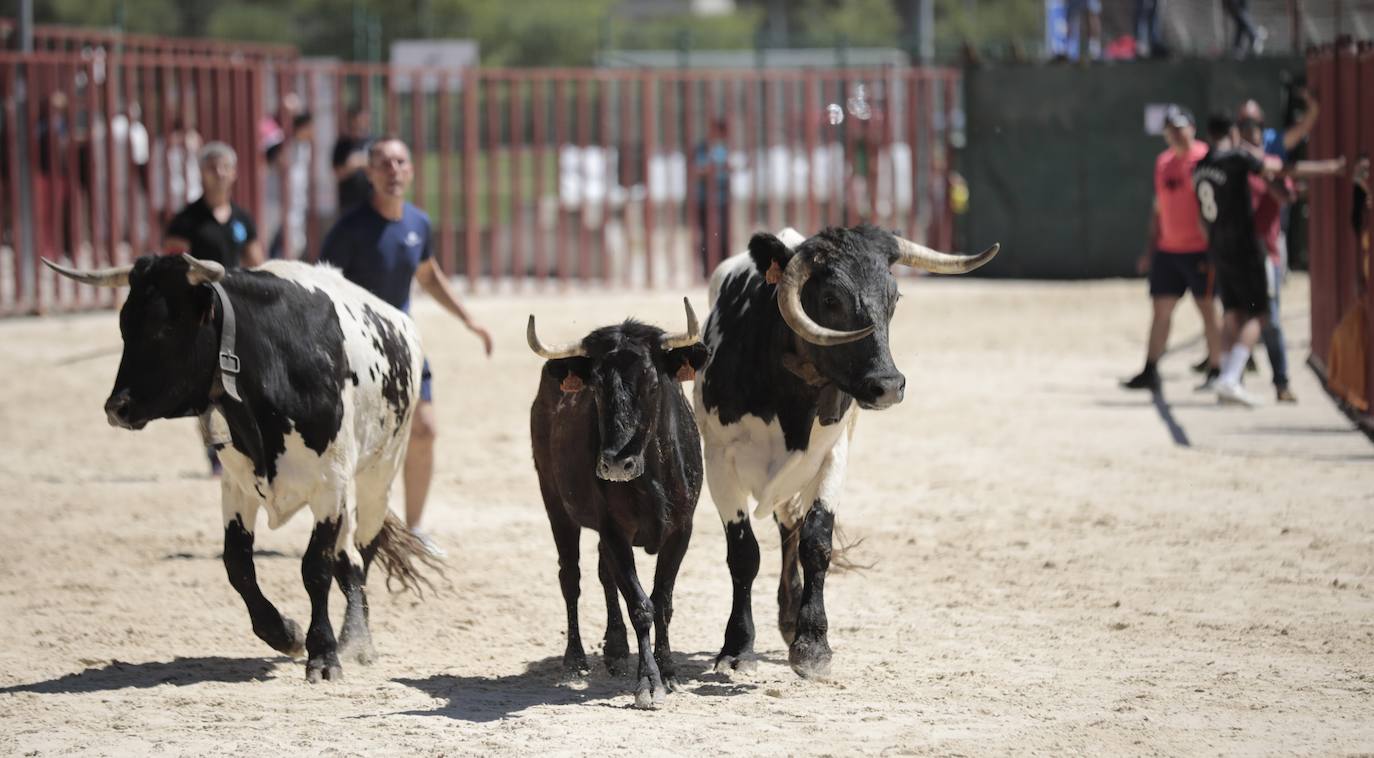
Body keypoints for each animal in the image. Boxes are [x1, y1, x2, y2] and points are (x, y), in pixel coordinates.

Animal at [44, 252, 439, 681]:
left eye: (165, 328)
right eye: (124, 326)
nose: (117, 407)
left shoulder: (329, 486)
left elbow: (315, 567)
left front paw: (323, 653)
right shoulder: (236, 487)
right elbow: (238, 564)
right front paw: (284, 632)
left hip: (378, 476)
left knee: (361, 554)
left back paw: (355, 639)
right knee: (346, 560)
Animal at [524, 302, 708, 708]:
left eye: (653, 382)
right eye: (595, 387)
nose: (614, 465)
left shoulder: (682, 530)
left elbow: (663, 601)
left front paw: (669, 671)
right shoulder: (613, 529)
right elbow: (640, 605)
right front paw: (649, 682)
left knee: (603, 573)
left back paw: (615, 650)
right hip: (554, 503)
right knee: (571, 577)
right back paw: (575, 659)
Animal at [697, 222, 1000, 678]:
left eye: (894, 297)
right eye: (830, 299)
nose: (888, 385)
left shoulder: (832, 457)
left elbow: (815, 543)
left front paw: (811, 644)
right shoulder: (719, 461)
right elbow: (744, 554)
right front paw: (737, 647)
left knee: (792, 531)